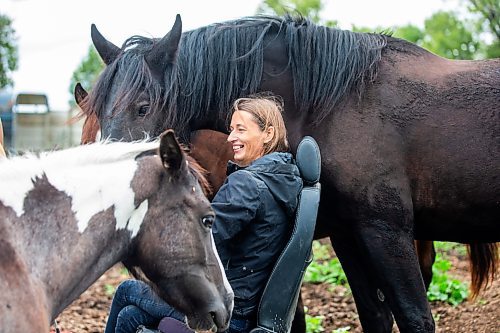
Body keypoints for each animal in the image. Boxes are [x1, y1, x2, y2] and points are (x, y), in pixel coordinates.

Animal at [79, 14, 500, 330]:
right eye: (98, 115)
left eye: (143, 107)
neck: (337, 105)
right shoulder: (349, 235)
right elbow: (373, 316)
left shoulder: (386, 230)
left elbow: (415, 318)